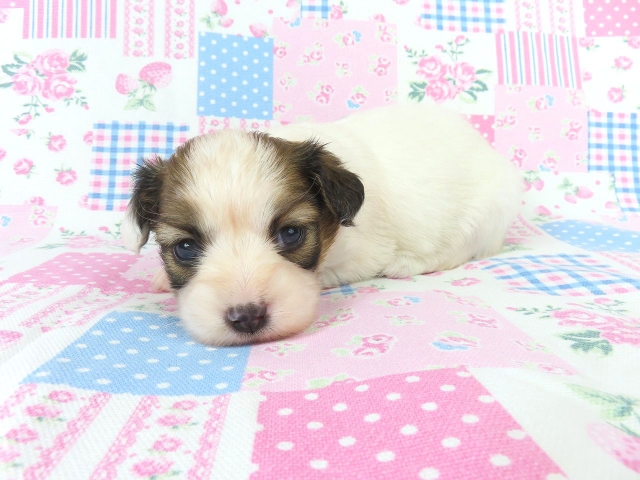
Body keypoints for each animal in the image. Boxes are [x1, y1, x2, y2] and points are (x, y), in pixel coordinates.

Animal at [122, 103, 522, 346]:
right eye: (186, 248)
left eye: (290, 234)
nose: (247, 317)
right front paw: (162, 278)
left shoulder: (364, 255)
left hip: (487, 214)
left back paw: (408, 264)